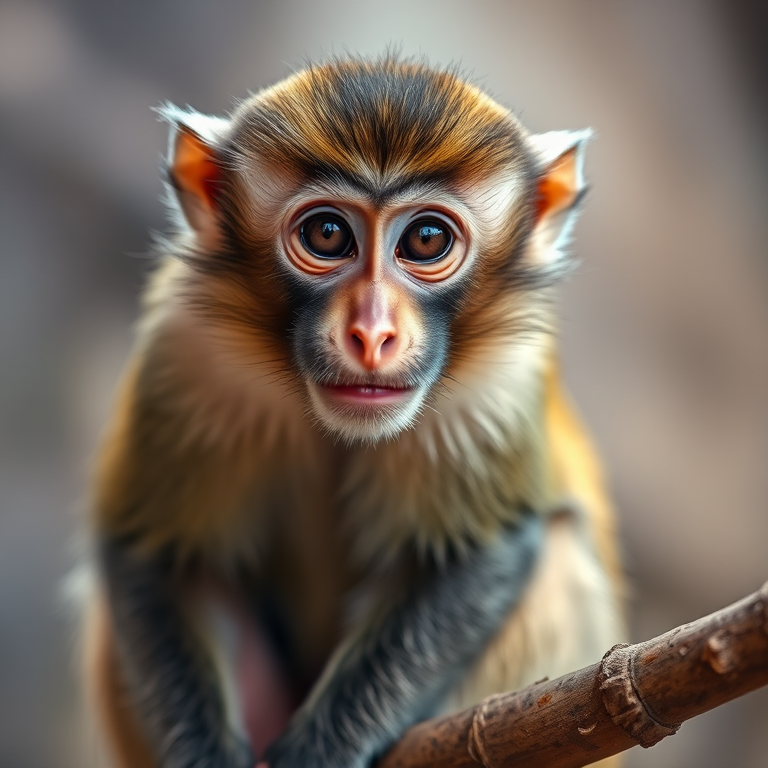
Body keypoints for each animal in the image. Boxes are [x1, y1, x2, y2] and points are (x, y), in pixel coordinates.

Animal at [82, 56, 625, 768]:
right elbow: (166, 560)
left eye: (425, 239)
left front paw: (318, 752)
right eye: (327, 234)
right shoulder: (187, 345)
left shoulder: (504, 371)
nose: (372, 333)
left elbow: (475, 553)